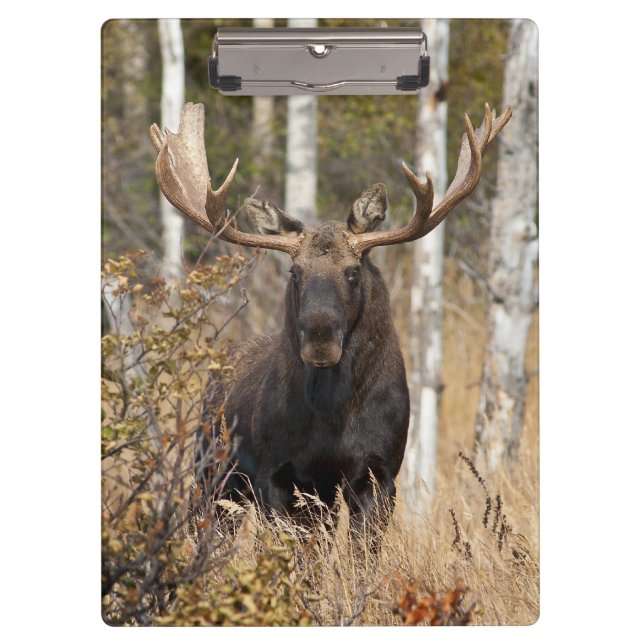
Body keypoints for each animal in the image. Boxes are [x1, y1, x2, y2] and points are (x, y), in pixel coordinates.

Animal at [150, 101, 511, 547]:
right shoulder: (280, 475)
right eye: (295, 272)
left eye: (353, 271)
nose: (320, 339)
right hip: (212, 472)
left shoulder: (379, 472)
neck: (332, 416)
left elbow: (359, 554)